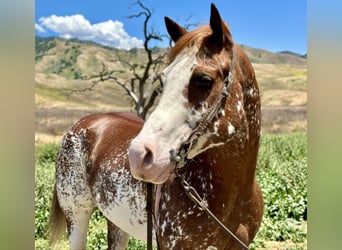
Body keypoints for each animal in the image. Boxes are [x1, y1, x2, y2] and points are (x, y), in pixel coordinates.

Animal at [48, 4, 264, 250]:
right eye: (162, 80)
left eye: (204, 80)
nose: (139, 156)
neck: (232, 196)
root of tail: (83, 123)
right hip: (77, 216)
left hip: (117, 222)